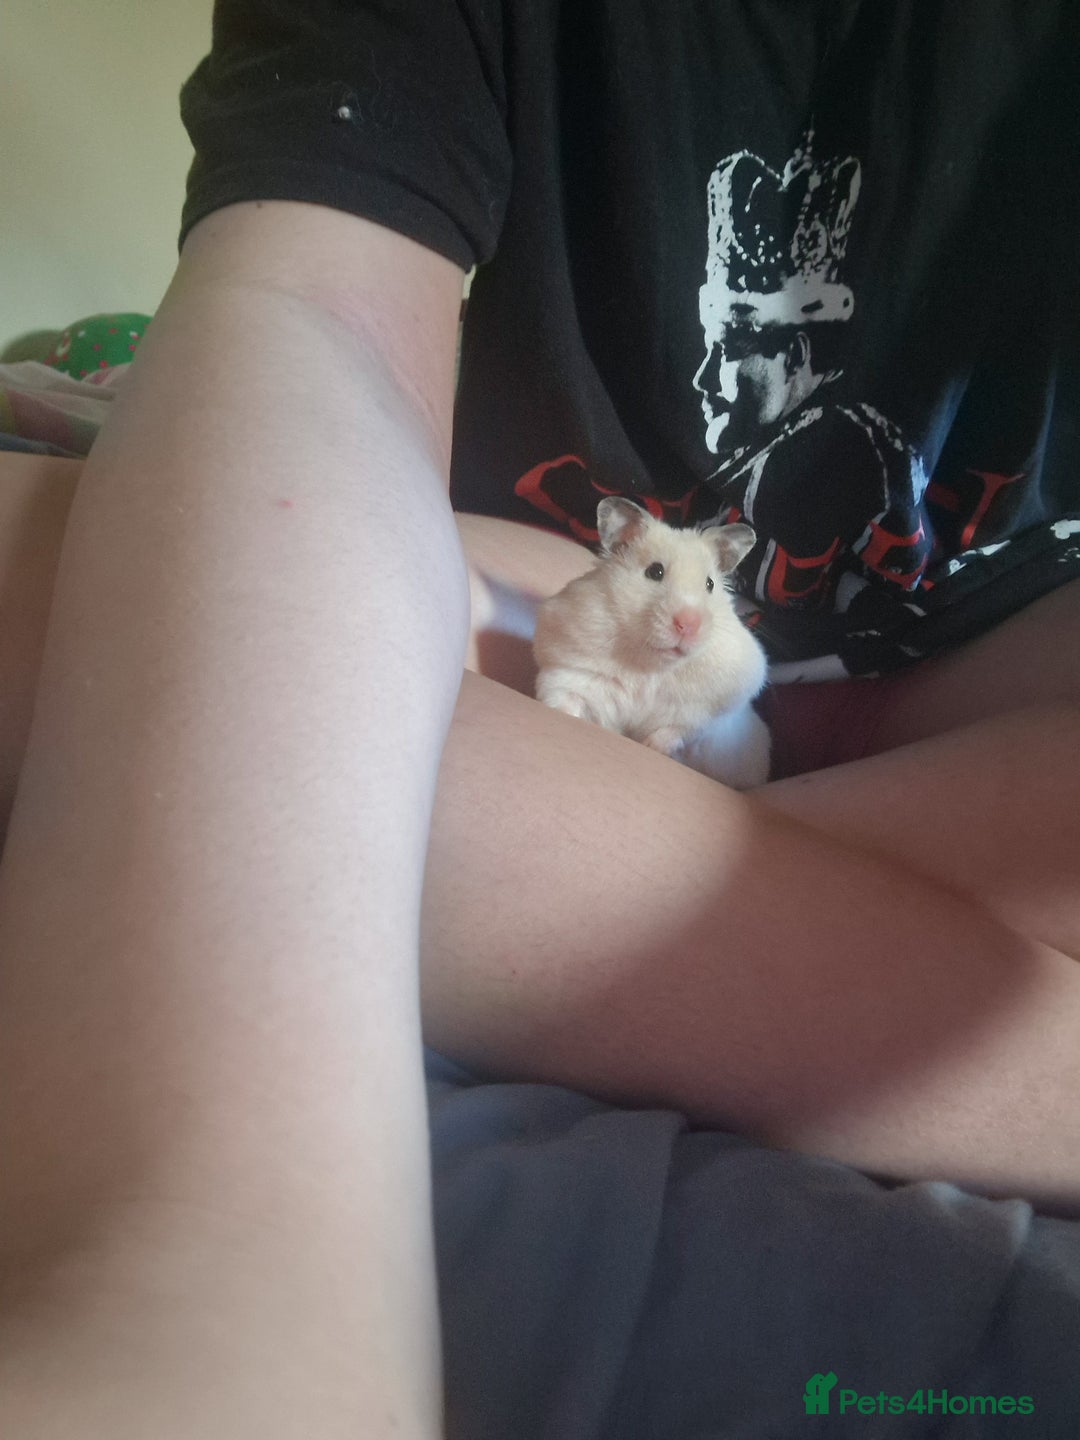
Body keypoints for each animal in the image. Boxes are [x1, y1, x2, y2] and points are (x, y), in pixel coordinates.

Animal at [533, 497, 771, 788]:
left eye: (710, 584)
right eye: (655, 572)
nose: (688, 624)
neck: (651, 663)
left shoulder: (706, 709)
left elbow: (678, 730)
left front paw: (651, 746)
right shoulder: (570, 672)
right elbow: (565, 698)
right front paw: (565, 715)